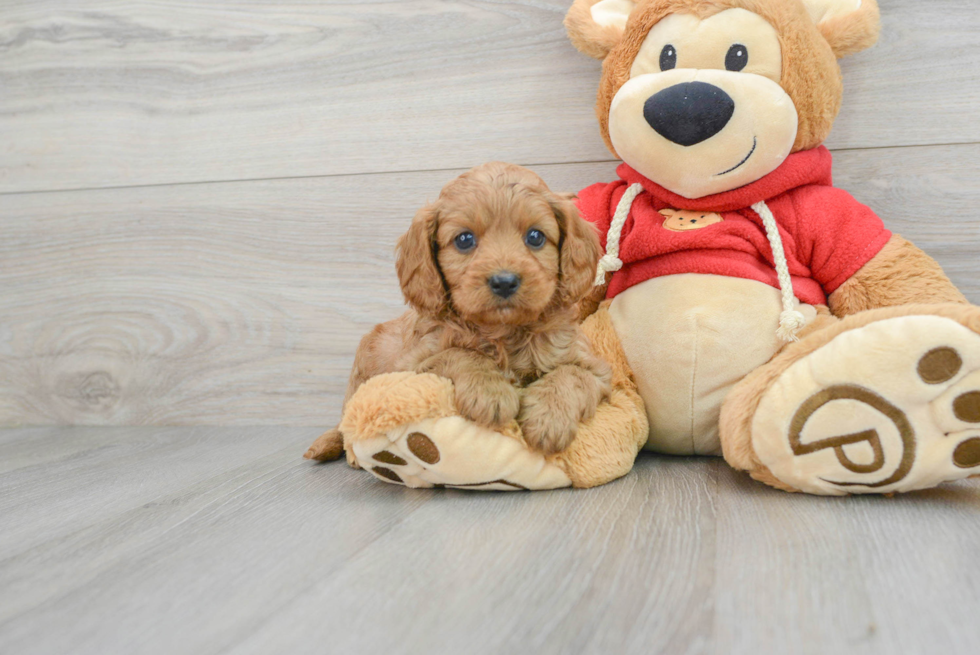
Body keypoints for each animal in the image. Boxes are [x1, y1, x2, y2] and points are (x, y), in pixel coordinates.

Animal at [306, 162, 612, 464]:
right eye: (464, 240)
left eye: (535, 236)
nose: (504, 281)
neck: (503, 331)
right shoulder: (410, 368)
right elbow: (461, 354)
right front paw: (491, 392)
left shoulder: (596, 369)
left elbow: (571, 375)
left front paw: (549, 419)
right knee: (345, 421)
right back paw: (332, 446)